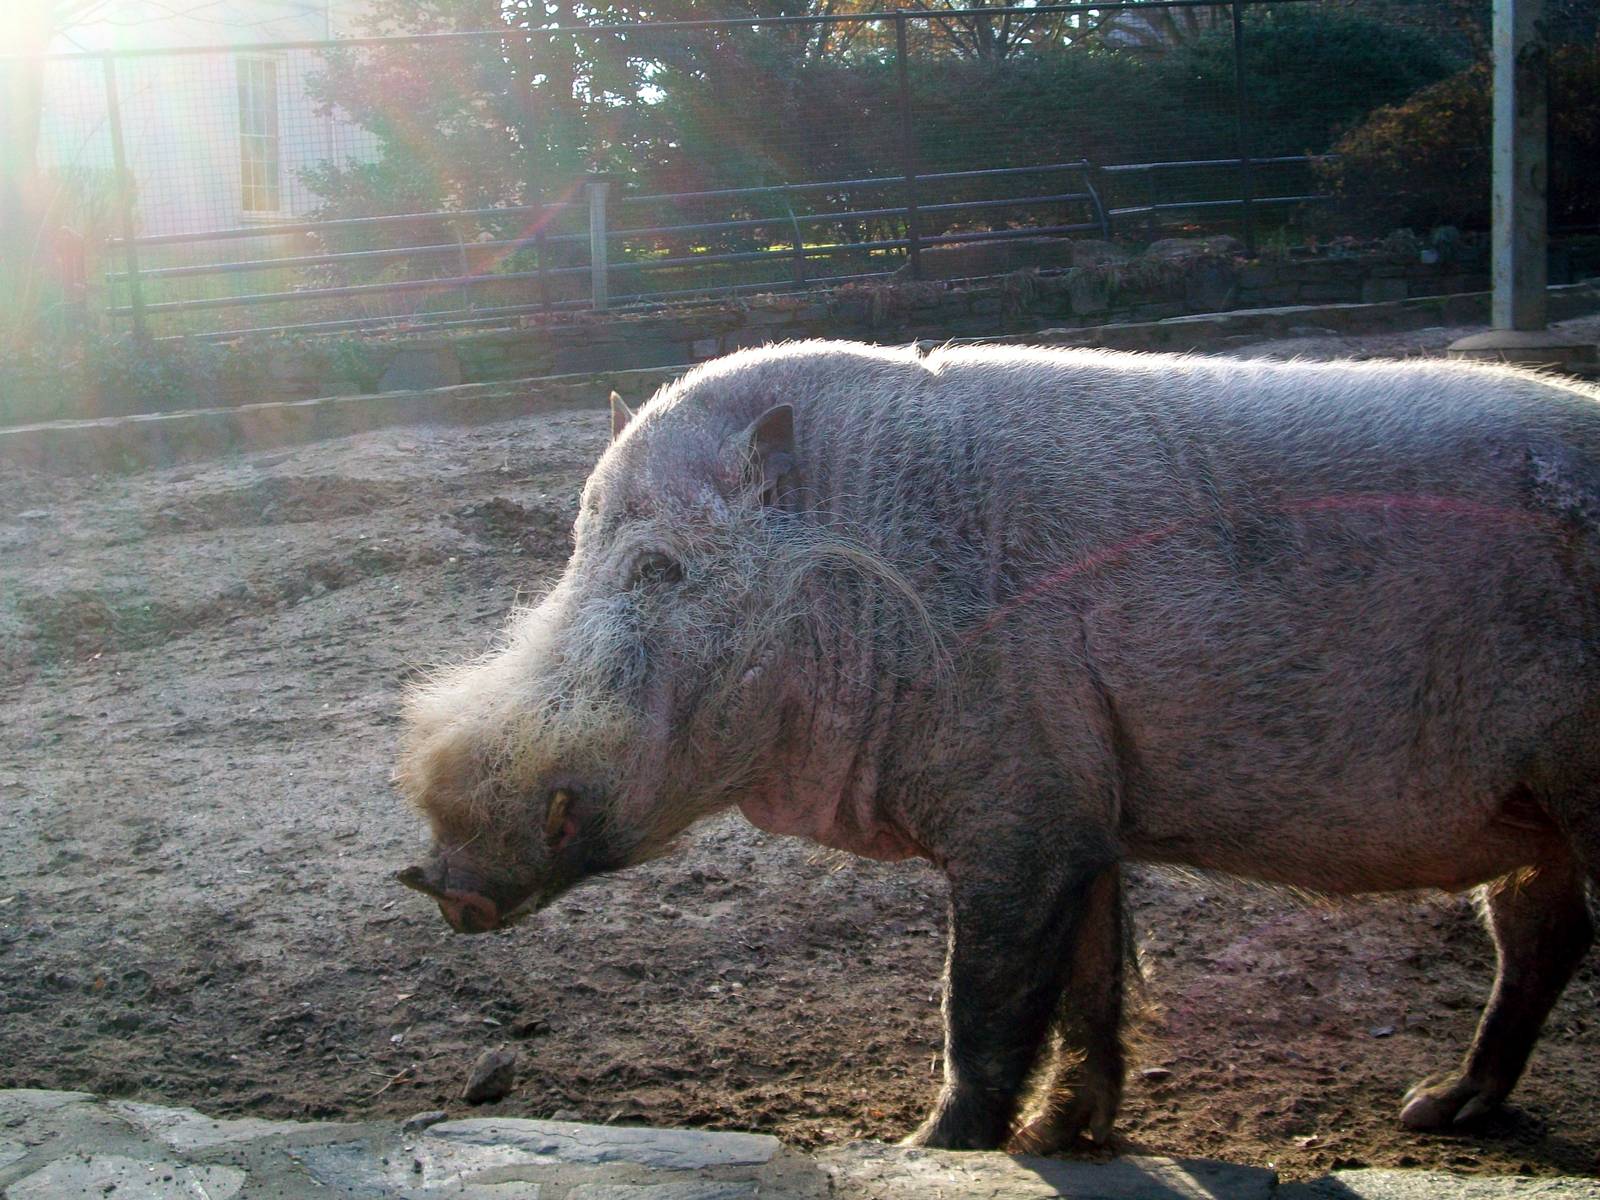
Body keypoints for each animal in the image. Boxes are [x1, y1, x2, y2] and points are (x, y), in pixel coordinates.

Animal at [396, 340, 1600, 1153]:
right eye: (573, 555)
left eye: (659, 569)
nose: (449, 883)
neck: (869, 587)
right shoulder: (1085, 817)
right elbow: (1088, 988)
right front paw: (1063, 1140)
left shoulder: (1020, 818)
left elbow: (980, 1004)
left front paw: (928, 1150)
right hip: (1530, 821)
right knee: (1542, 937)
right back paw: (1435, 1112)